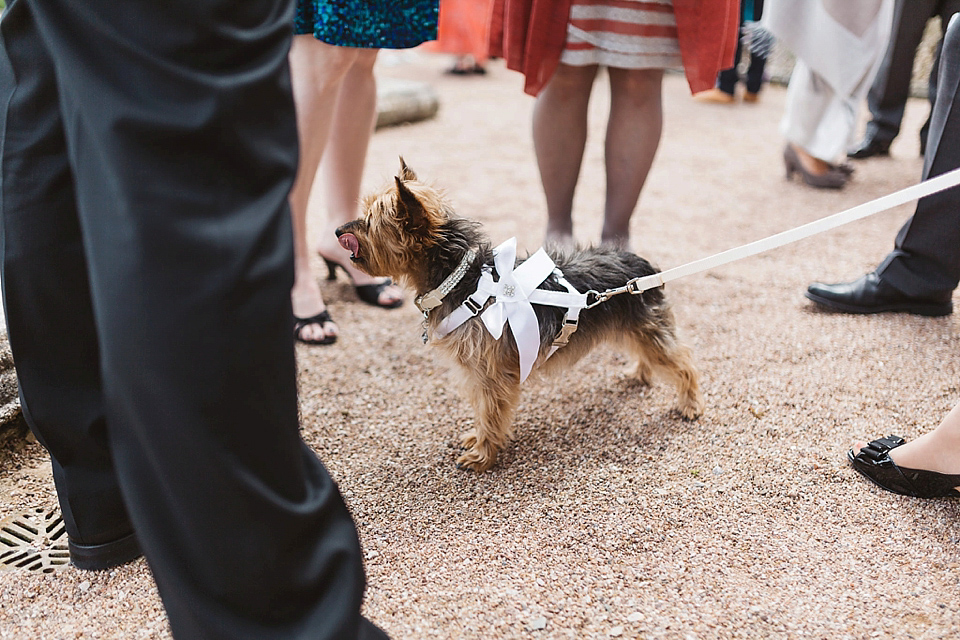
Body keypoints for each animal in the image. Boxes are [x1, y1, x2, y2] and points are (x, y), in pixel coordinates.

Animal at [338, 160, 704, 470]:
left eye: (370, 222)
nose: (339, 230)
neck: (461, 279)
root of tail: (642, 266)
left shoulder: (490, 374)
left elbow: (490, 412)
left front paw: (483, 455)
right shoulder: (479, 372)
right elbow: (482, 410)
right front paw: (478, 441)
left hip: (648, 328)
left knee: (681, 361)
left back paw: (690, 404)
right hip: (632, 327)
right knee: (647, 351)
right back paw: (640, 373)